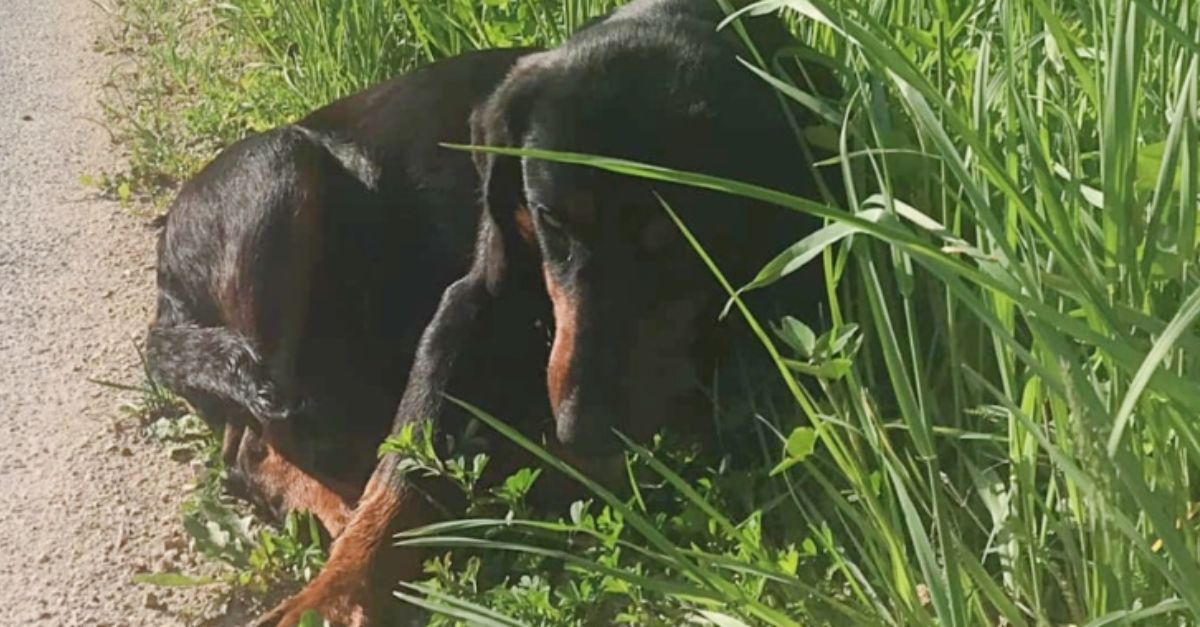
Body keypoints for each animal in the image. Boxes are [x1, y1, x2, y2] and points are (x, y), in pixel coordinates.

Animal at [250, 2, 835, 619]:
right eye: (549, 216)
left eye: (679, 238)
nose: (580, 432)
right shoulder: (471, 297)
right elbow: (406, 459)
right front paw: (334, 593)